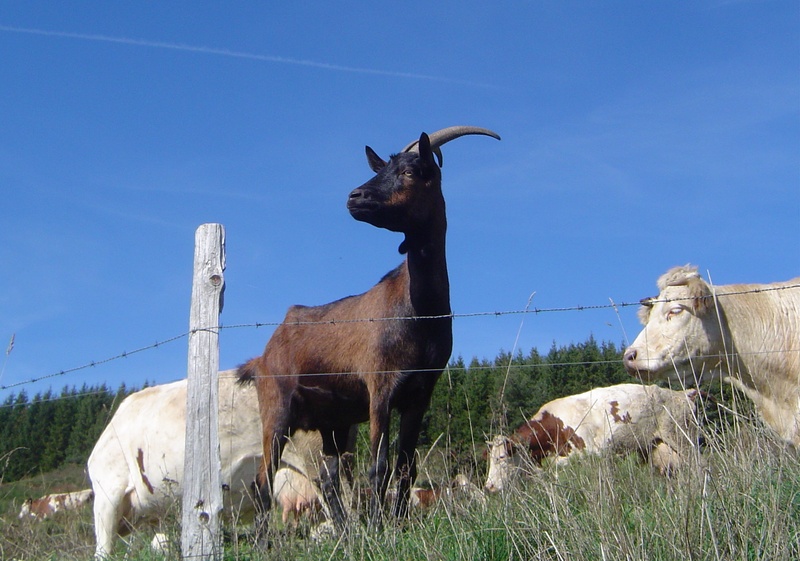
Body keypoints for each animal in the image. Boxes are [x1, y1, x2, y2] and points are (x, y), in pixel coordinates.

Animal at [238, 124, 500, 536]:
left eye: (410, 171)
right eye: (383, 168)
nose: (354, 196)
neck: (418, 313)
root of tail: (262, 355)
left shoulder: (420, 393)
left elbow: (406, 466)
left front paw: (400, 524)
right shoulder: (380, 387)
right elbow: (378, 466)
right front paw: (381, 528)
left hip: (332, 422)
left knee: (328, 476)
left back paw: (346, 533)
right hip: (276, 410)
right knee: (264, 478)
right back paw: (269, 541)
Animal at [482, 380, 700, 490]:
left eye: (502, 458)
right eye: (490, 460)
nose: (489, 487)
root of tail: (683, 394)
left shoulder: (593, 457)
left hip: (683, 439)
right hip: (654, 448)